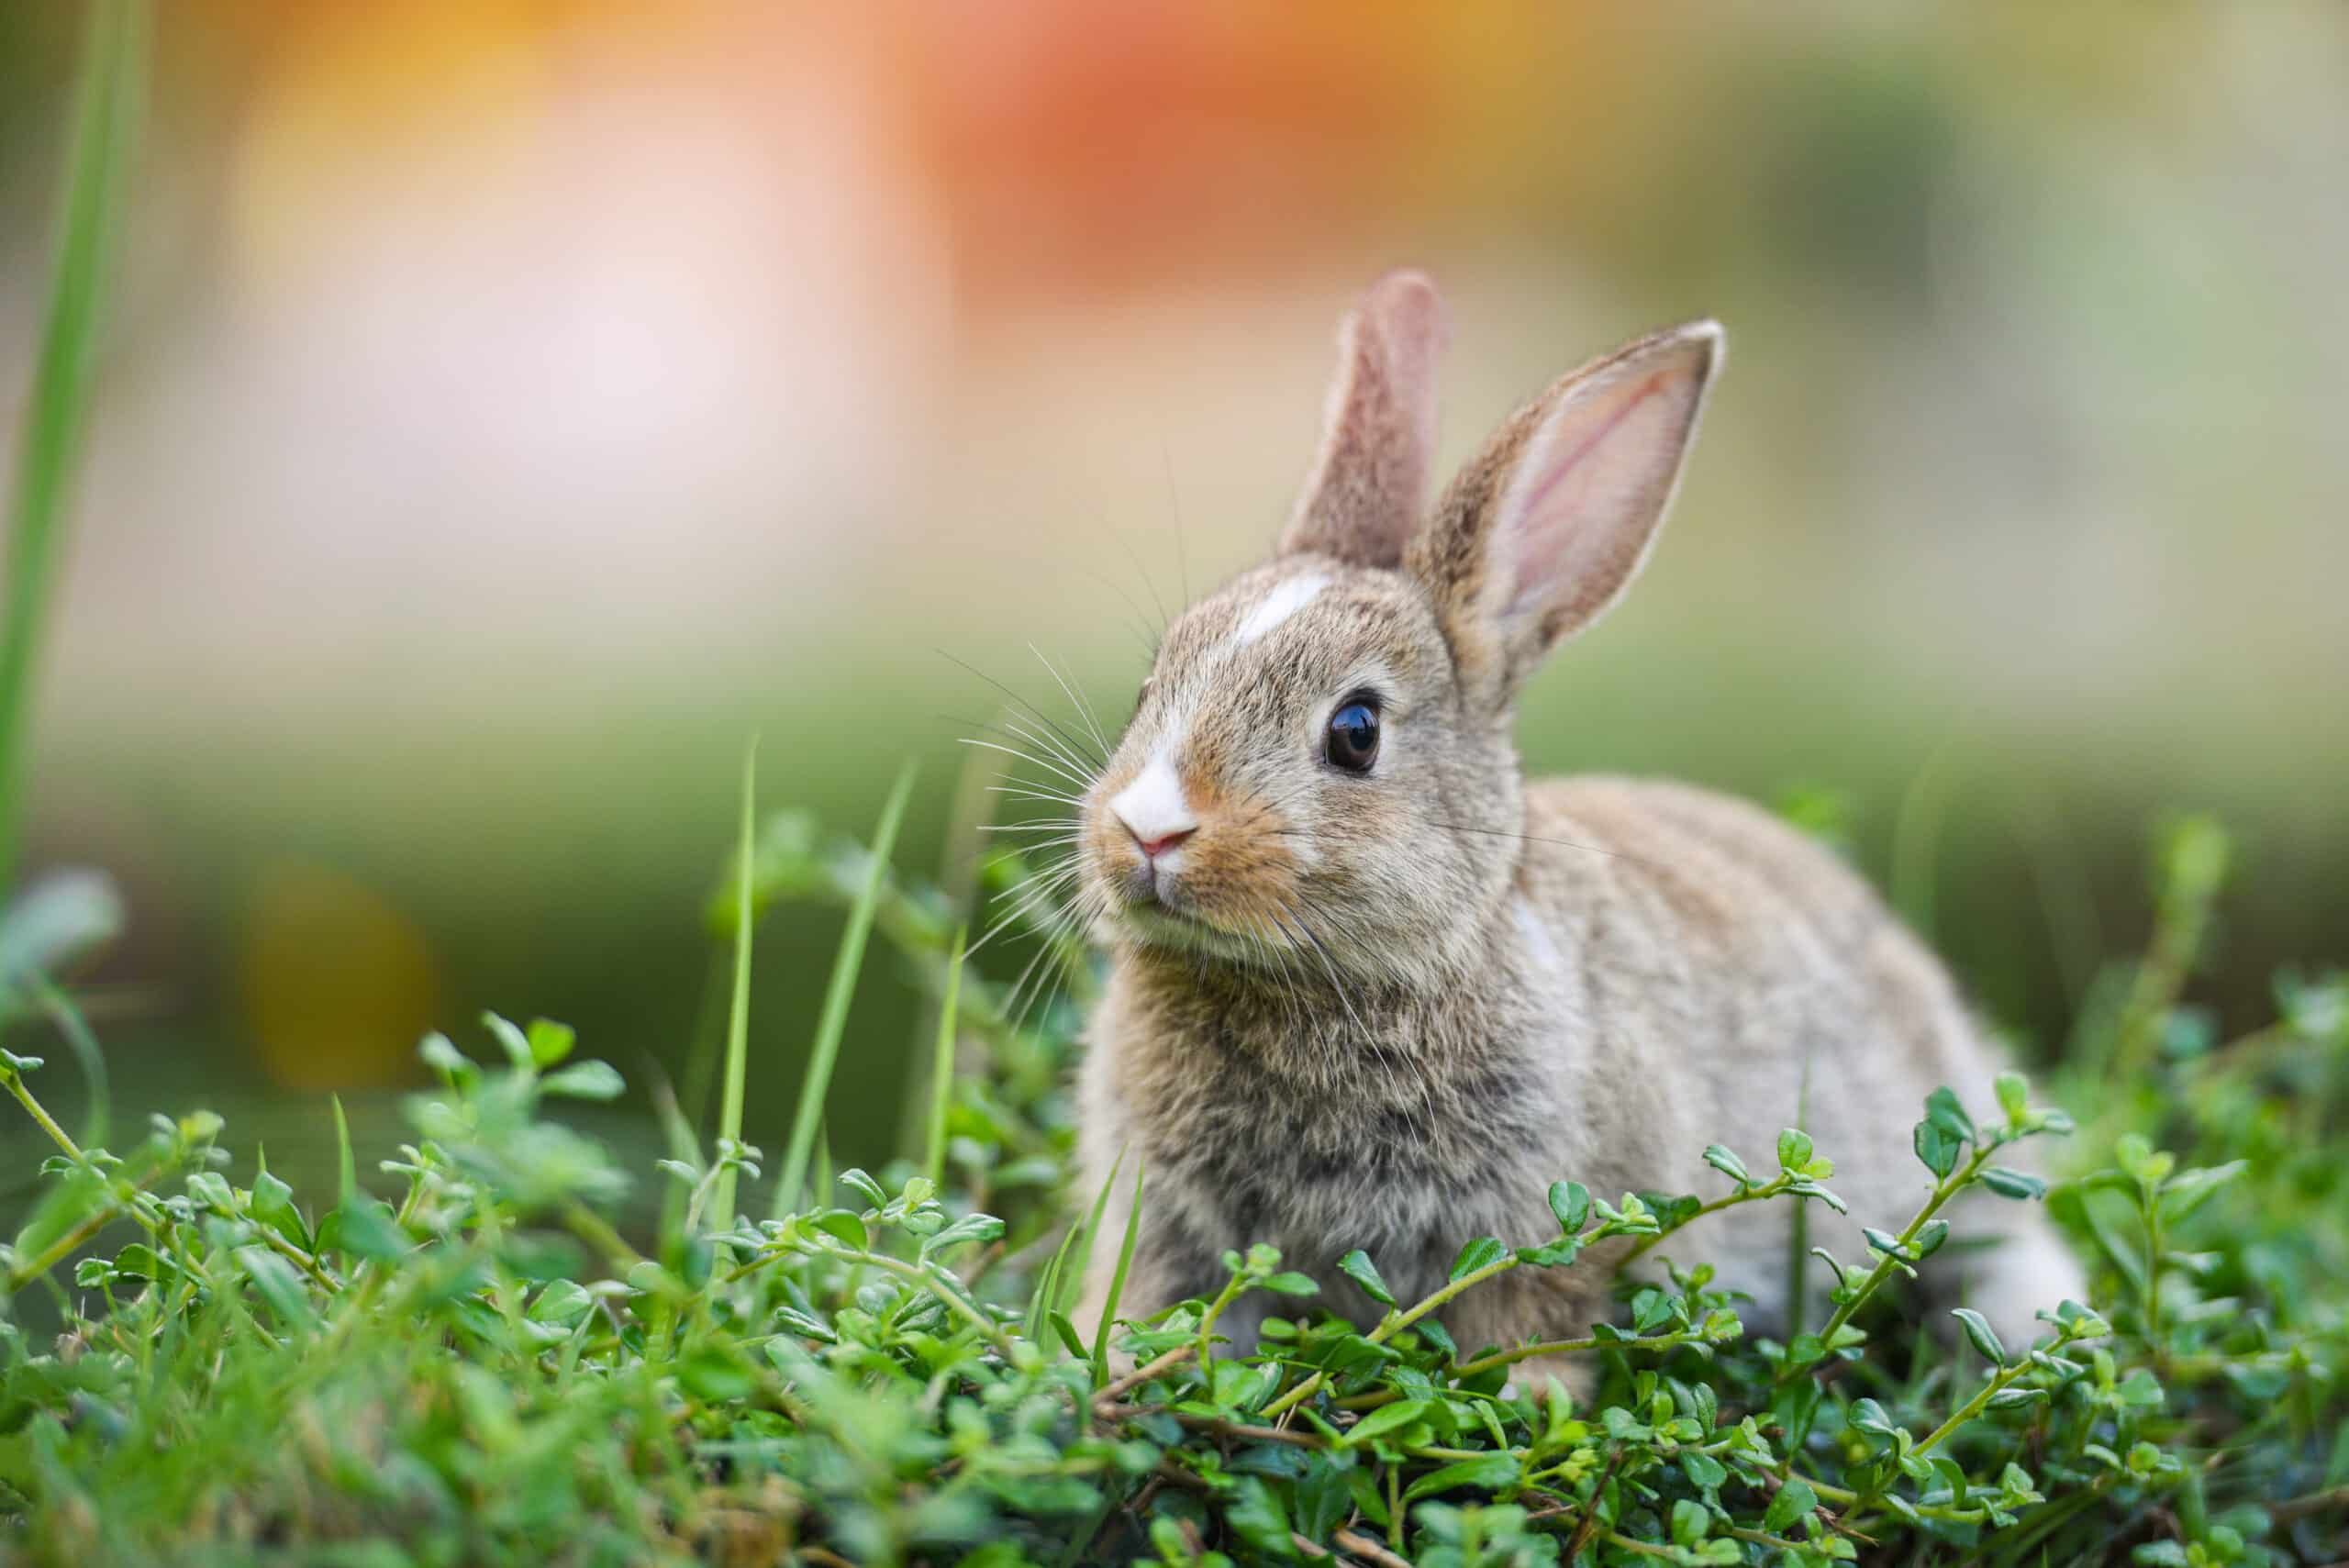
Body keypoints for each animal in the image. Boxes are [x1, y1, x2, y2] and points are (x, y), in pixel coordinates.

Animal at [1064, 270, 2084, 1395]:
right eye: (1151, 683)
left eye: (1355, 732)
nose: (1150, 830)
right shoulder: (1171, 1232)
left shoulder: (1551, 1228)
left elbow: (1539, 1324)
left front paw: (1526, 1403)